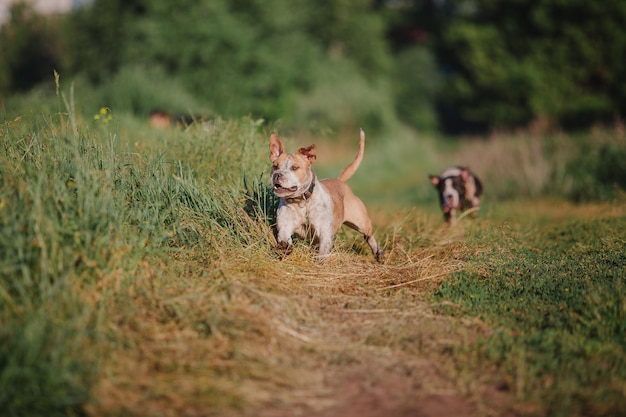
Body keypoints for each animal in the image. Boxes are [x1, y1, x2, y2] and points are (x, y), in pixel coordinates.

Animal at [266, 128, 380, 262]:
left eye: (294, 167)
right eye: (275, 166)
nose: (277, 175)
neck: (302, 201)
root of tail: (340, 181)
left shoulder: (324, 232)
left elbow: (323, 250)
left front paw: (320, 261)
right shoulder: (285, 225)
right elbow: (284, 236)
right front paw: (284, 247)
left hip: (361, 222)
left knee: (369, 235)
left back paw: (378, 253)